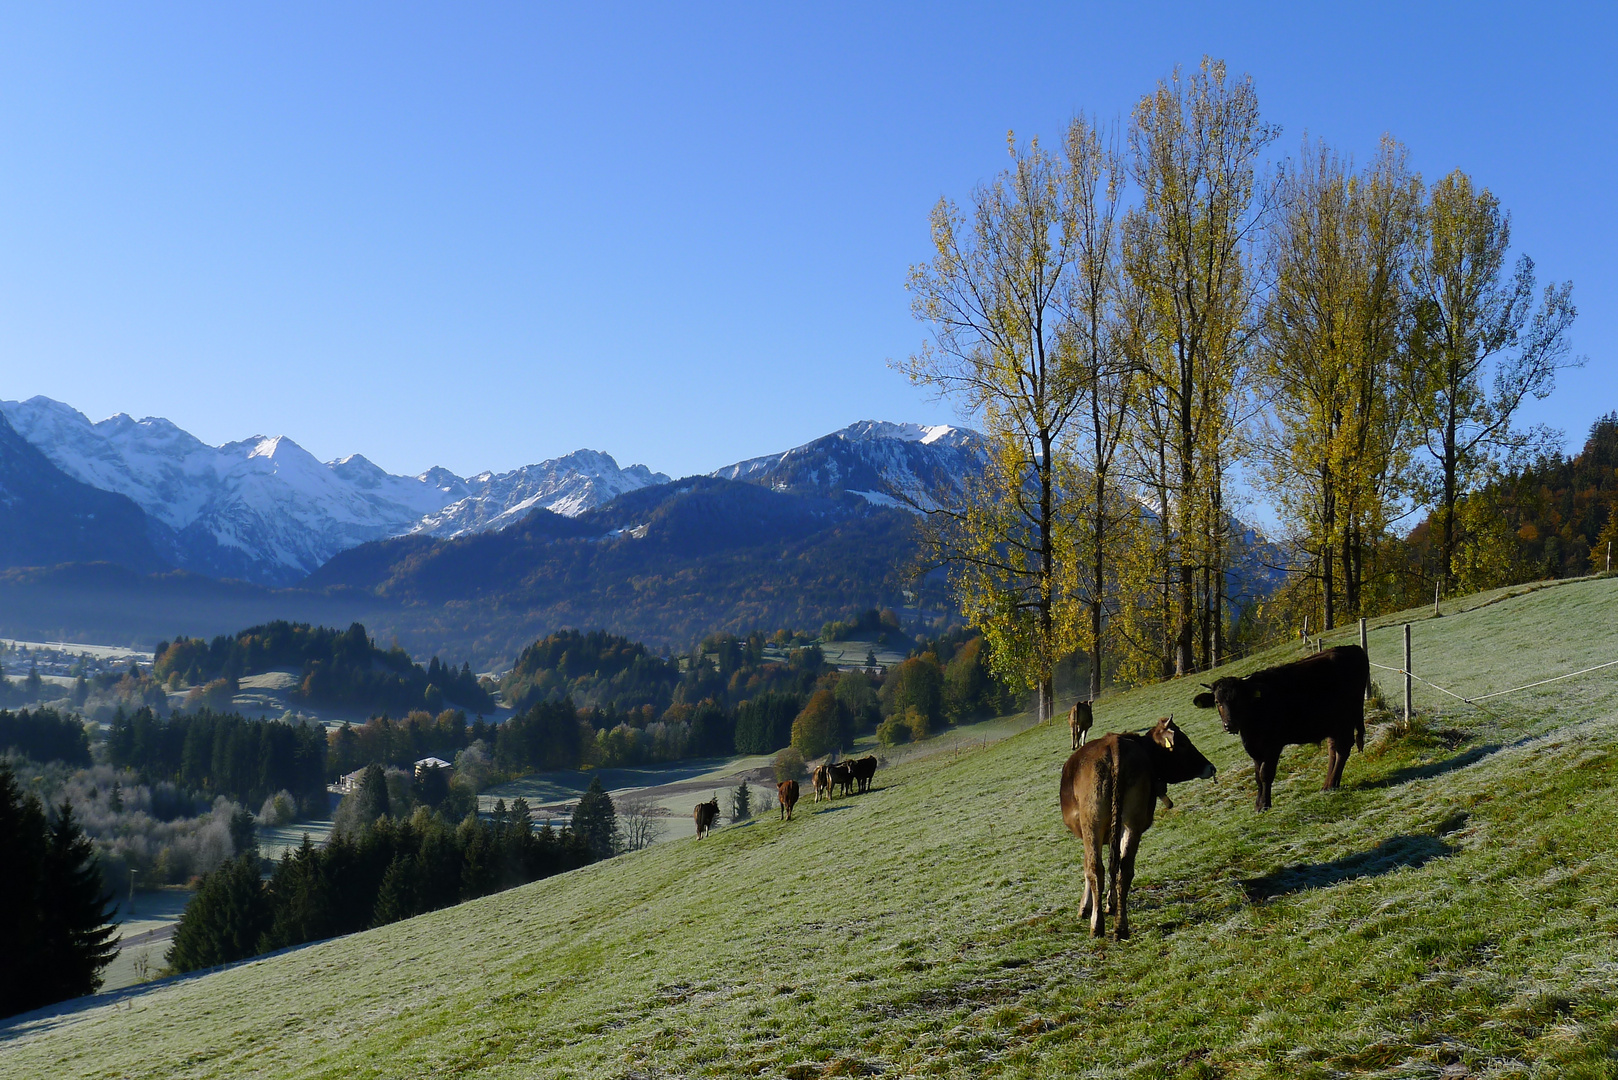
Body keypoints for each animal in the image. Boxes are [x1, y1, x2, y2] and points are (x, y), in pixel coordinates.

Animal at [1061, 718, 1216, 939]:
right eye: (1184, 742)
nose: (1211, 767)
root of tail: (1115, 745)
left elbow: (1088, 868)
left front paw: (1086, 907)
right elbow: (1115, 863)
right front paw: (1110, 903)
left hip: (1092, 821)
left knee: (1095, 868)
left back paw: (1097, 926)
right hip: (1132, 821)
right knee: (1124, 868)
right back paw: (1120, 927)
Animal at [1190, 641, 1365, 809]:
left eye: (1238, 699)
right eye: (1217, 701)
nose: (1229, 724)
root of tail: (1352, 648)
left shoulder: (1273, 745)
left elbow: (1265, 774)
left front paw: (1264, 804)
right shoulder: (1255, 748)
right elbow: (1257, 775)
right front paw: (1258, 804)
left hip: (1346, 719)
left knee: (1343, 749)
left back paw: (1332, 784)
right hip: (1333, 724)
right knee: (1333, 749)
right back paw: (1327, 785)